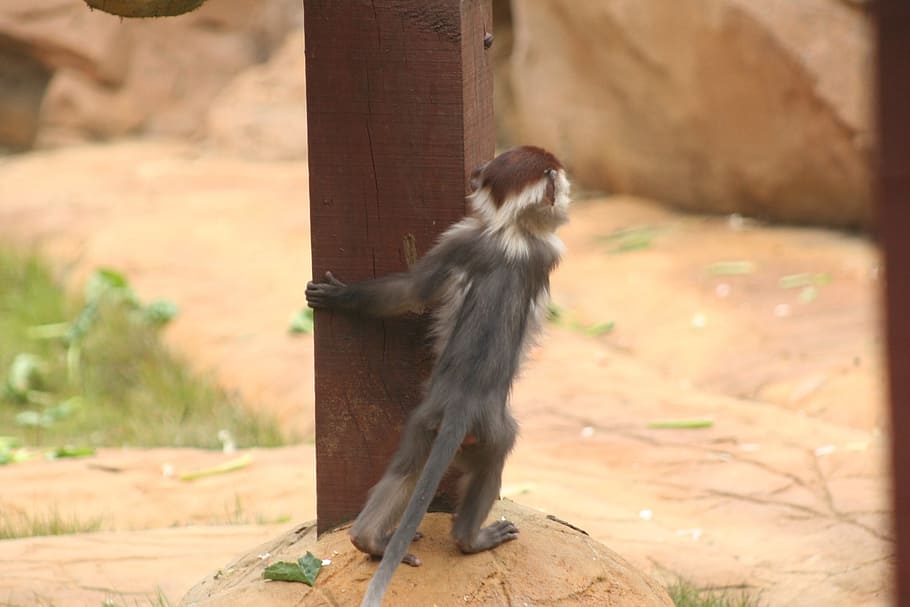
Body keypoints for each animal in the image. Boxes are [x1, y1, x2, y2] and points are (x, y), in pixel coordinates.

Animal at [306, 145, 570, 607]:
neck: (510, 231)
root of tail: (461, 405)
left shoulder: (462, 237)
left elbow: (413, 292)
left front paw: (339, 297)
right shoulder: (543, 250)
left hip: (422, 422)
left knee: (406, 468)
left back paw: (368, 539)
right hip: (491, 432)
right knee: (496, 456)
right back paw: (469, 539)